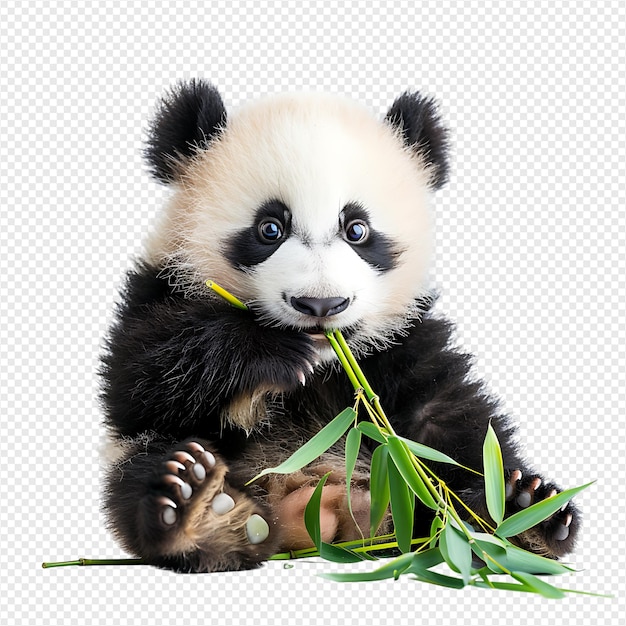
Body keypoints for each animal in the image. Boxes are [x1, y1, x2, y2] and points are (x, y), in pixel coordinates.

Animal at [100, 80, 576, 572]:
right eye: (269, 228)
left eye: (357, 230)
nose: (321, 303)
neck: (325, 361)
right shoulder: (157, 290)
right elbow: (140, 380)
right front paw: (270, 352)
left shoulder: (405, 337)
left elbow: (450, 425)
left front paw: (522, 504)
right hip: (149, 459)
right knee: (146, 470)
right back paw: (207, 511)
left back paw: (521, 515)